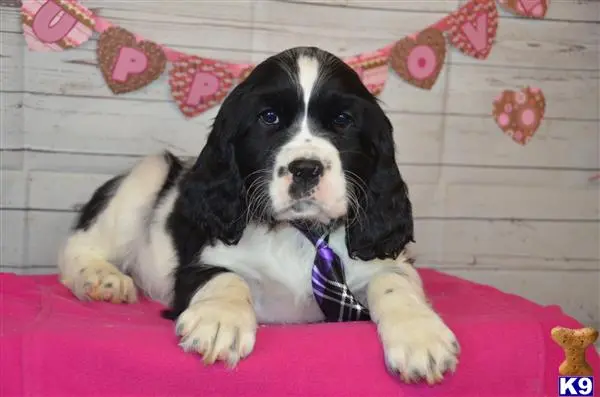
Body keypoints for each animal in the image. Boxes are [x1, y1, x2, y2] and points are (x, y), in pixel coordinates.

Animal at [57, 47, 460, 384]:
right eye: (269, 117)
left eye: (343, 121)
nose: (306, 169)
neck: (301, 234)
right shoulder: (199, 263)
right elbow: (225, 277)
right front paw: (218, 321)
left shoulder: (385, 261)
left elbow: (395, 283)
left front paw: (422, 337)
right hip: (149, 173)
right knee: (78, 247)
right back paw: (103, 278)